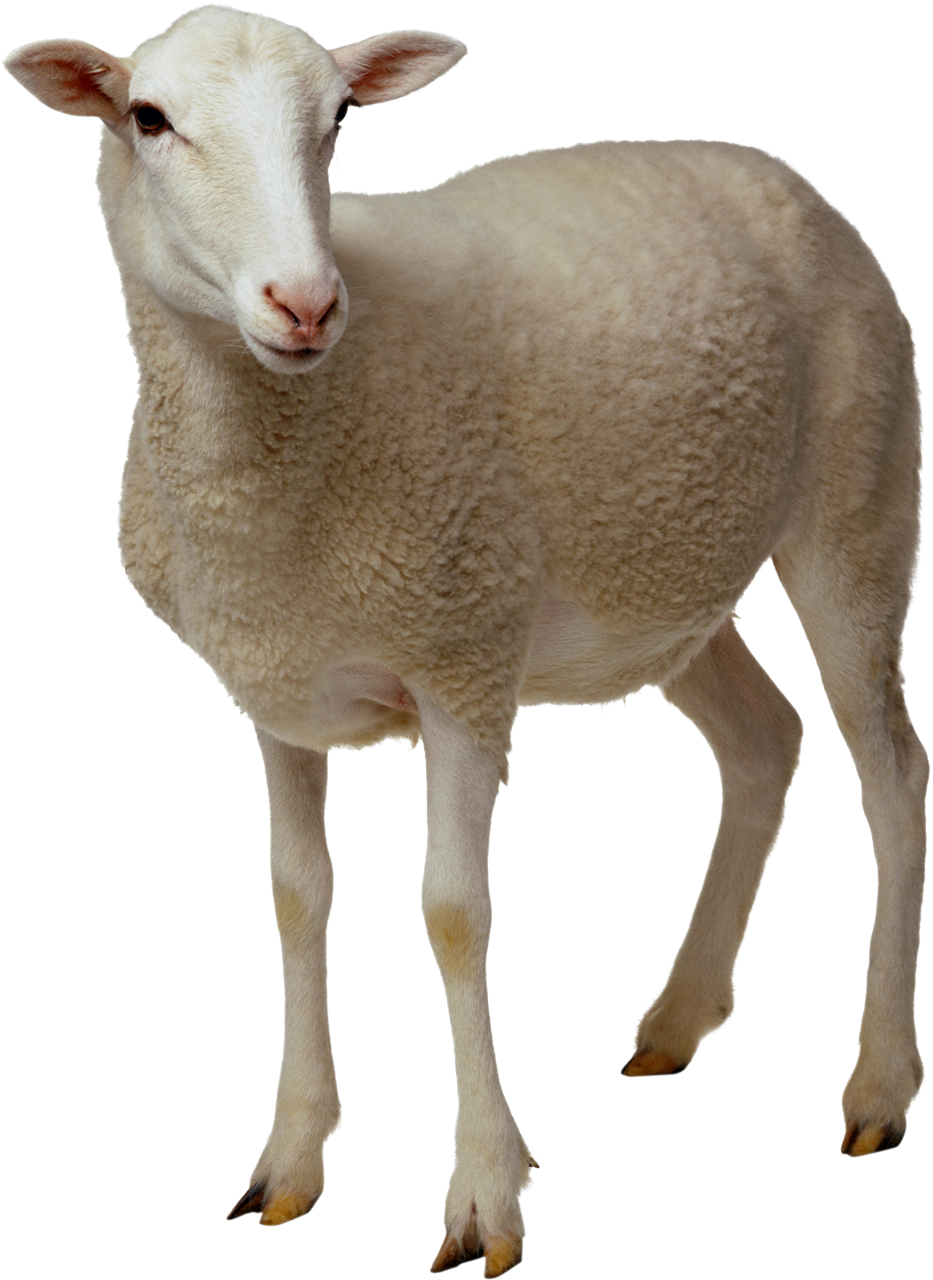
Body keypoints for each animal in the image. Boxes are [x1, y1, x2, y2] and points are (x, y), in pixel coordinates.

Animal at [5, 4, 926, 1273]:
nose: (305, 303)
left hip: (858, 500)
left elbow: (452, 912)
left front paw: (486, 1192)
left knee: (892, 772)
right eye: (148, 118)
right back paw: (679, 1016)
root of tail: (773, 169)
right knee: (764, 740)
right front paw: (289, 1158)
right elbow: (295, 893)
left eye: (339, 122)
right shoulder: (276, 684)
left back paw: (878, 1082)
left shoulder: (464, 661)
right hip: (666, 577)